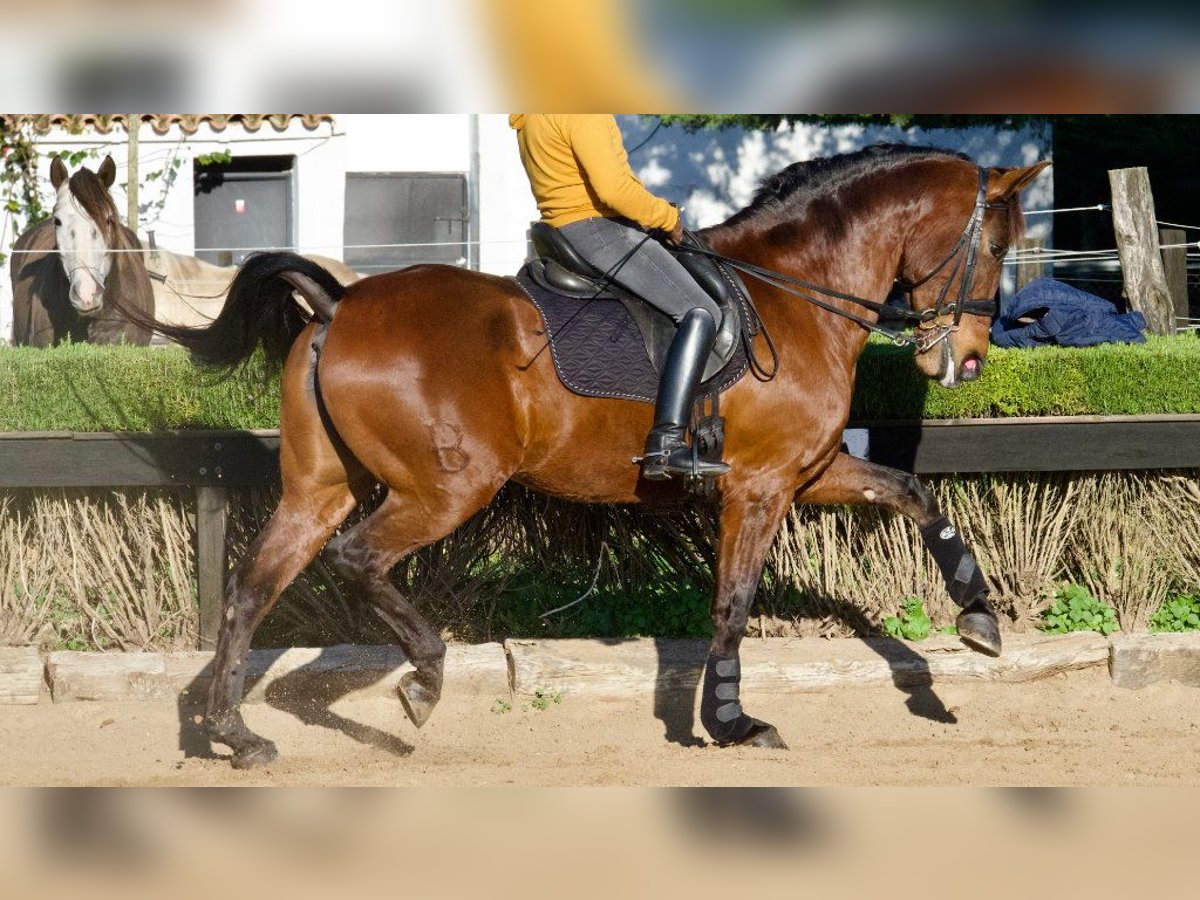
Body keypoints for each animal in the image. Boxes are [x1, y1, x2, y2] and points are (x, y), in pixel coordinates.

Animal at [138, 142, 1051, 768]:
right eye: (996, 248)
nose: (969, 361)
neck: (797, 295)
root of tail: (339, 304)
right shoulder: (758, 488)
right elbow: (733, 603)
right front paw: (731, 722)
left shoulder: (809, 471)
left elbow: (911, 490)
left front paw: (979, 619)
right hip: (448, 488)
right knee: (357, 560)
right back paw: (424, 677)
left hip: (321, 488)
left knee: (251, 592)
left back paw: (235, 735)